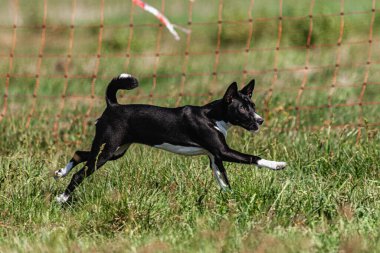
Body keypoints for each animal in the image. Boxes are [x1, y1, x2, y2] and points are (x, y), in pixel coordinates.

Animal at [55, 73, 286, 204]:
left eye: (253, 105)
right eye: (242, 109)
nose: (260, 120)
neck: (212, 116)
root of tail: (113, 106)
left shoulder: (215, 157)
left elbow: (224, 182)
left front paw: (231, 201)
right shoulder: (224, 152)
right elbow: (253, 157)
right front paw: (277, 164)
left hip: (116, 151)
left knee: (79, 154)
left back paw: (60, 173)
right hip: (108, 150)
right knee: (79, 174)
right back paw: (62, 198)